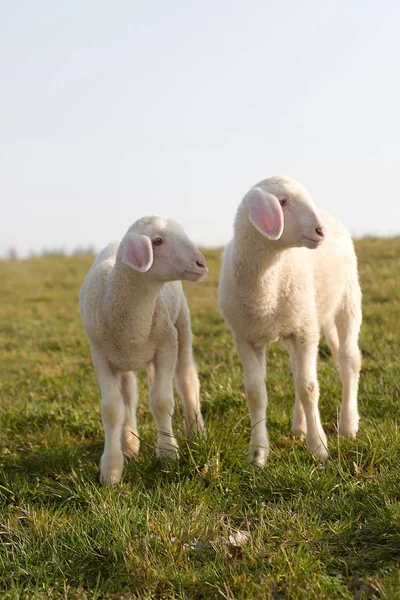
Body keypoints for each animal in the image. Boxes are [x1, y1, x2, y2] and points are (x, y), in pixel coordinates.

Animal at [79, 216, 208, 482]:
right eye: (157, 241)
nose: (202, 263)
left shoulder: (167, 346)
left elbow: (161, 402)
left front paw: (168, 454)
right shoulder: (100, 356)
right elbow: (112, 410)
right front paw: (111, 470)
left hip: (182, 326)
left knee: (187, 378)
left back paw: (196, 432)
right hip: (123, 360)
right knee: (129, 395)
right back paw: (129, 444)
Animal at [219, 176, 362, 466]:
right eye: (282, 202)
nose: (320, 232)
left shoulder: (305, 331)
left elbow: (308, 388)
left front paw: (319, 448)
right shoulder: (245, 338)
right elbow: (256, 393)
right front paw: (257, 453)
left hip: (347, 301)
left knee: (349, 361)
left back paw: (348, 425)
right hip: (297, 322)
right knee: (298, 369)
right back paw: (299, 427)